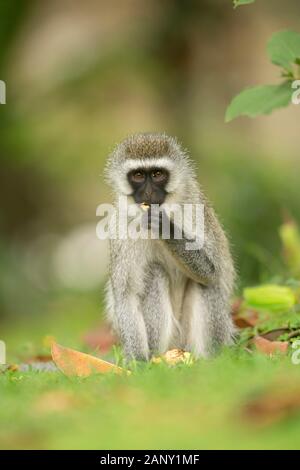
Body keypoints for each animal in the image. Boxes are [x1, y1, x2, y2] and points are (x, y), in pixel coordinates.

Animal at [104, 134, 236, 362]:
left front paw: (166, 228)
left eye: (157, 174)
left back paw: (211, 362)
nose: (148, 192)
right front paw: (137, 361)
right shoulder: (120, 226)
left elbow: (212, 270)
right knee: (154, 273)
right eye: (138, 175)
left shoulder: (194, 207)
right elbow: (126, 294)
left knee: (206, 283)